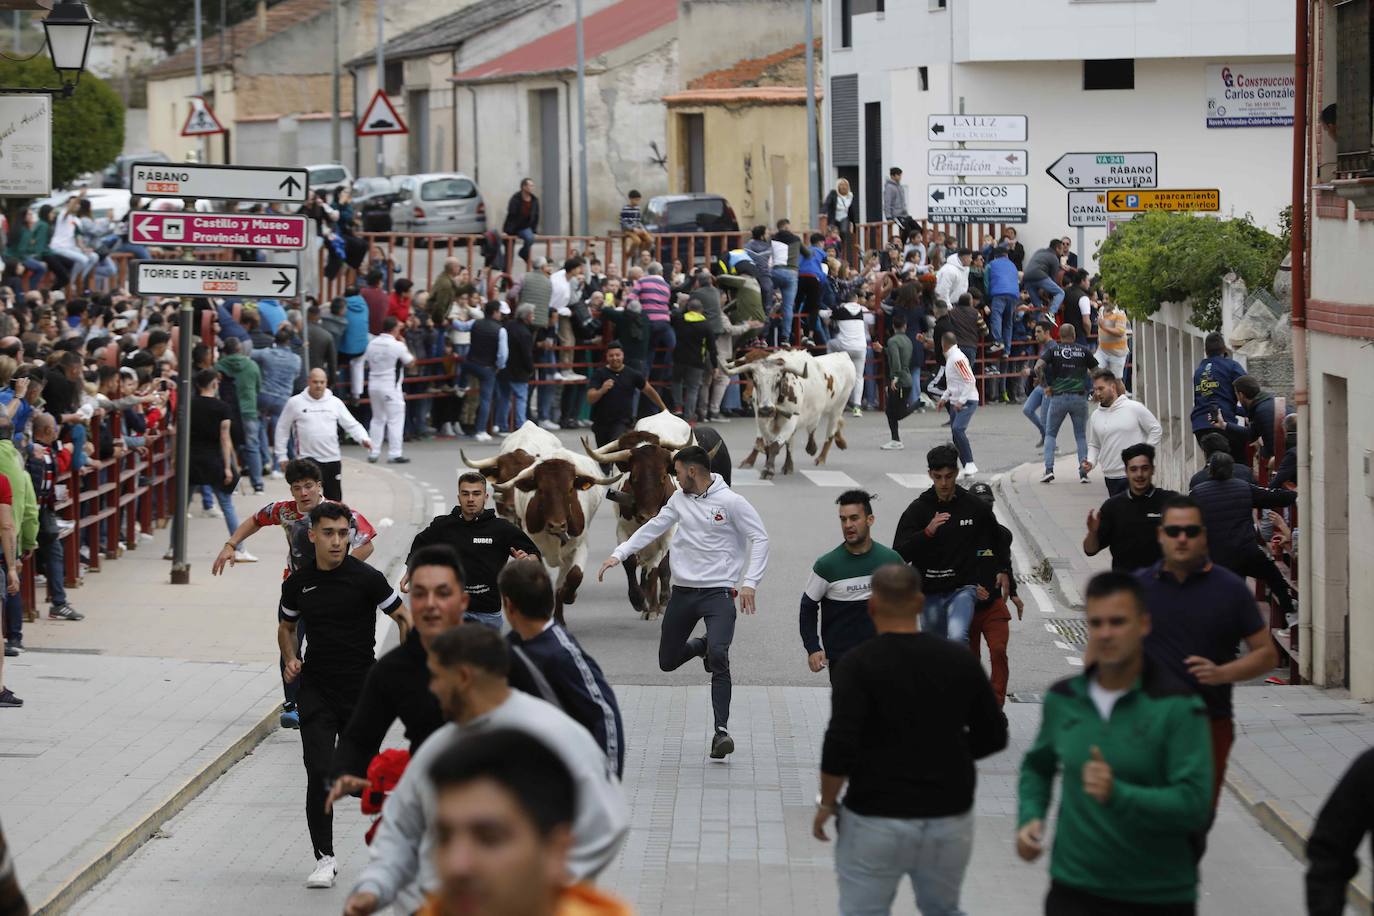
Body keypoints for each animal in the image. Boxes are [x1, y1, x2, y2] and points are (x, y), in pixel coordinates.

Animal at [494, 450, 623, 626]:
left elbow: (575, 575)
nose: (557, 525)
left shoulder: (581, 544)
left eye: (570, 489)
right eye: (541, 490)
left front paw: (569, 595)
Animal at [725, 348, 851, 480]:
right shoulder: (761, 418)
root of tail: (842, 354)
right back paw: (789, 465)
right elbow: (766, 444)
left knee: (827, 432)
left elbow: (775, 445)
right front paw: (752, 461)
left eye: (777, 380)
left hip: (838, 406)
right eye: (753, 378)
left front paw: (768, 470)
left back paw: (819, 456)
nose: (766, 409)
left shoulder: (790, 420)